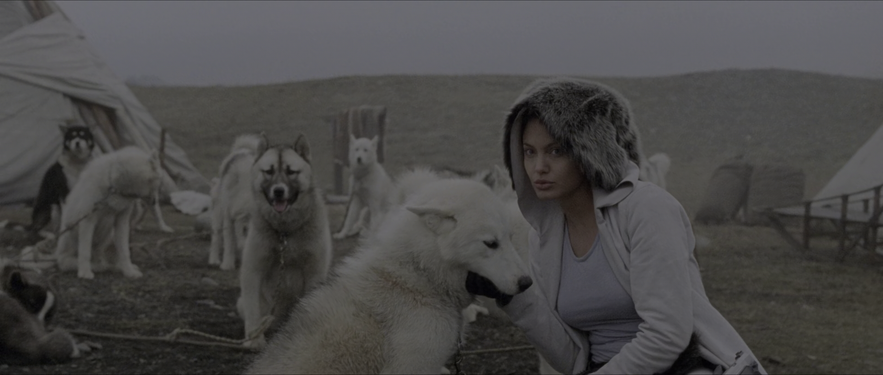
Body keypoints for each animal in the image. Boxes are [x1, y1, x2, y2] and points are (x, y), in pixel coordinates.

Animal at [53, 147, 163, 280]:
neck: (114, 186)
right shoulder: (87, 220)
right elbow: (85, 252)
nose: (155, 201)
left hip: (109, 234)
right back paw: (96, 267)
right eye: (159, 181)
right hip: (70, 233)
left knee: (106, 259)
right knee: (69, 262)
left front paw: (129, 272)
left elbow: (124, 252)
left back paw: (113, 266)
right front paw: (85, 273)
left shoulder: (122, 221)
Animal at [208, 134, 260, 270]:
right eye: (245, 230)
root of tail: (242, 150)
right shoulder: (228, 215)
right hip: (218, 211)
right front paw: (227, 264)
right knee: (216, 236)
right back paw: (214, 260)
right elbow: (229, 242)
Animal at [237, 134, 334, 348]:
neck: (285, 232)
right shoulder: (253, 270)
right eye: (269, 171)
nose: (279, 191)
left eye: (291, 172)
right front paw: (254, 340)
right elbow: (253, 309)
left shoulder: (314, 272)